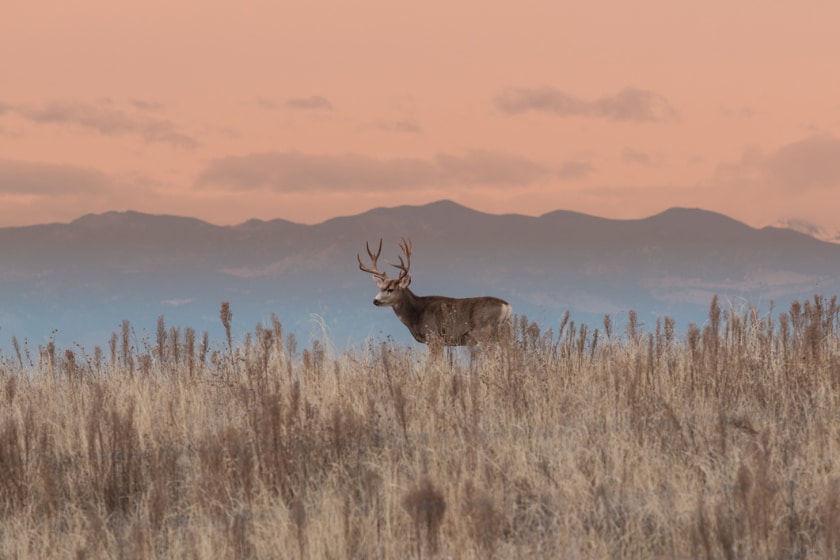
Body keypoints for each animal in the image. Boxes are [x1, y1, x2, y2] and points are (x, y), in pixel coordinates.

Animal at [356, 237, 512, 352]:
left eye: (391, 289)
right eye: (380, 288)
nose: (375, 301)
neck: (416, 315)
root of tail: (506, 306)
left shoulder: (434, 337)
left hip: (484, 333)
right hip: (504, 333)